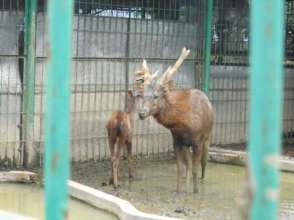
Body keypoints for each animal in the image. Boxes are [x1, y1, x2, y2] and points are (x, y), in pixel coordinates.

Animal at [135, 47, 214, 192]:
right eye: (142, 95)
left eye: (156, 96)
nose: (141, 113)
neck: (182, 123)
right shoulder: (177, 140)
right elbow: (180, 168)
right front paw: (178, 190)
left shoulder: (197, 141)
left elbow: (195, 169)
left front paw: (195, 191)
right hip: (186, 145)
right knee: (188, 165)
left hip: (207, 136)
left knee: (204, 163)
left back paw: (202, 180)